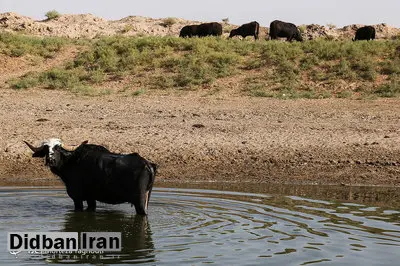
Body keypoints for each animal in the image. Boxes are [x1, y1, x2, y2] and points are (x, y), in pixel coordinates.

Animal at [24, 138, 157, 215]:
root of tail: (147, 164)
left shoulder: (77, 198)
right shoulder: (91, 199)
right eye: (46, 149)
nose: (50, 160)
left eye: (58, 148)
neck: (72, 161)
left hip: (140, 203)